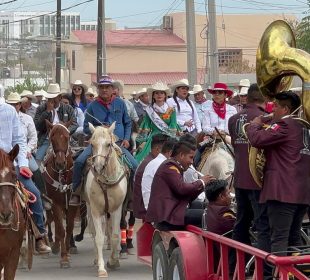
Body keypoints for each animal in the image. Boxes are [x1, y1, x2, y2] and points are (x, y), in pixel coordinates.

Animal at [83, 123, 127, 278]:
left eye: (108, 144)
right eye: (92, 144)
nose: (98, 167)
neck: (106, 181)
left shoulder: (116, 209)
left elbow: (114, 235)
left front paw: (113, 261)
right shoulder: (96, 210)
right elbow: (99, 238)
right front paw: (102, 268)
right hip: (89, 208)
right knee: (94, 232)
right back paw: (97, 259)